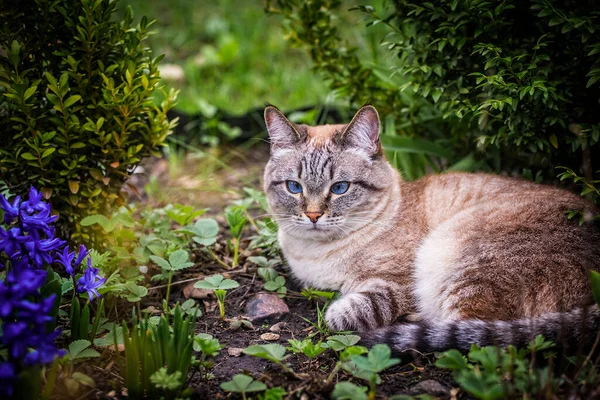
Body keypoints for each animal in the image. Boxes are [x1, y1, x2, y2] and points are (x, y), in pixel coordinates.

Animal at [262, 104, 600, 352]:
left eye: (340, 188)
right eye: (294, 187)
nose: (313, 215)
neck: (314, 254)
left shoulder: (399, 284)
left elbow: (354, 309)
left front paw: (334, 314)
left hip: (455, 257)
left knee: (476, 332)